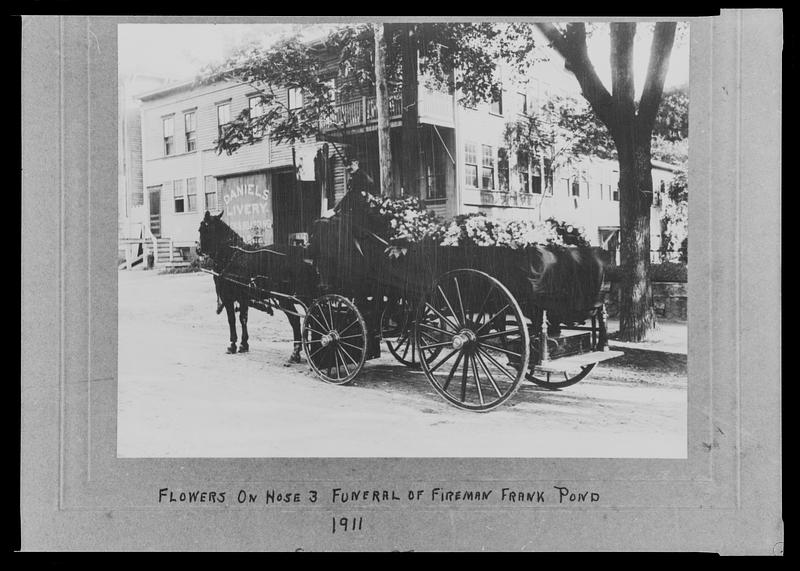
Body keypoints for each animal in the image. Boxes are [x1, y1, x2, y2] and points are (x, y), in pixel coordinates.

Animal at [196, 210, 316, 362]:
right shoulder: (243, 298)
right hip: (306, 296)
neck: (232, 256)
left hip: (286, 299)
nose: (198, 249)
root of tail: (300, 257)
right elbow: (243, 318)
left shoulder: (229, 297)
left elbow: (232, 319)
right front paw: (243, 344)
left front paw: (233, 344)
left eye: (202, 229)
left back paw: (296, 352)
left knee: (295, 320)